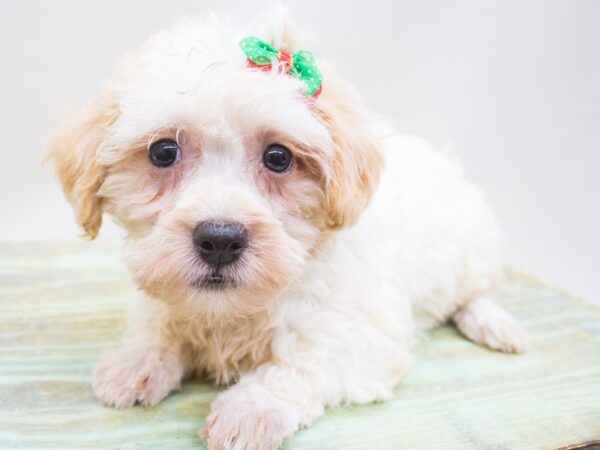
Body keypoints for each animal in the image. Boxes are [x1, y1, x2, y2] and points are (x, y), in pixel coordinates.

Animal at [47, 9, 524, 450]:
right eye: (163, 152)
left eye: (278, 157)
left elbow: (302, 361)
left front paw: (250, 409)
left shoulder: (363, 336)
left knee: (477, 291)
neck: (230, 313)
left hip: (473, 249)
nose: (220, 239)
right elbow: (159, 321)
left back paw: (494, 324)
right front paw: (137, 360)